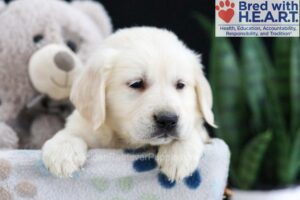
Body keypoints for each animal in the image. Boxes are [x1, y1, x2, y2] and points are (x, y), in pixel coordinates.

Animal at [42, 27, 216, 182]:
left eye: (180, 85)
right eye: (137, 84)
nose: (167, 119)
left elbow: (191, 132)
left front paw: (177, 154)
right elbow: (70, 133)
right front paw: (62, 152)